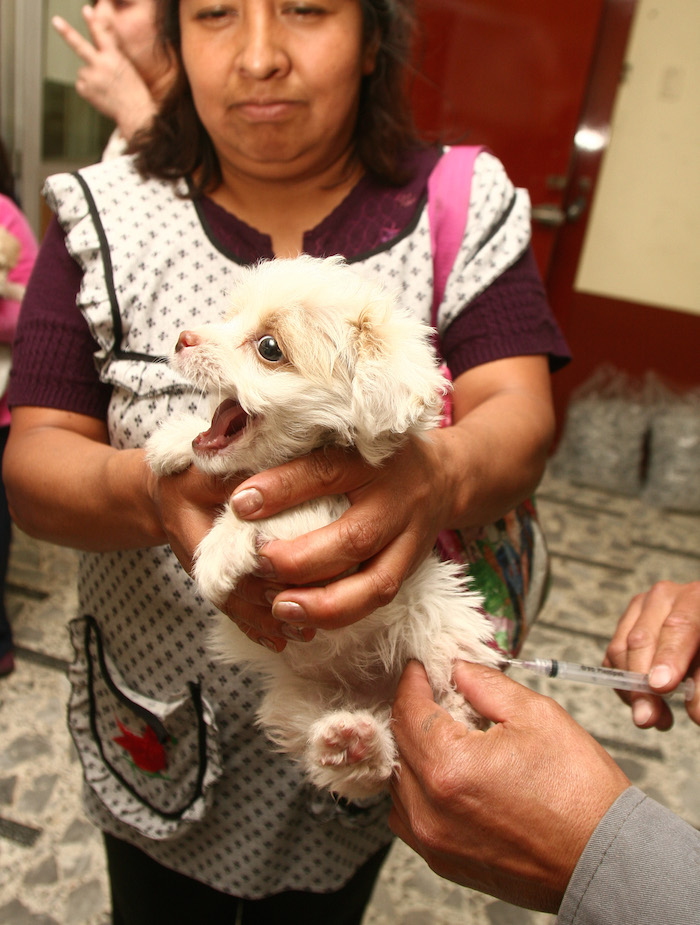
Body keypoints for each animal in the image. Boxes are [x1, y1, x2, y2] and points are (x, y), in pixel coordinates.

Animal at [146, 254, 498, 800]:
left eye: (270, 348)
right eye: (230, 316)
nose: (182, 338)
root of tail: (375, 691)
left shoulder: (334, 511)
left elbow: (280, 507)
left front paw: (223, 546)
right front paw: (174, 439)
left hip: (442, 630)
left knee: (444, 709)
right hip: (294, 700)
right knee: (349, 760)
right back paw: (353, 743)